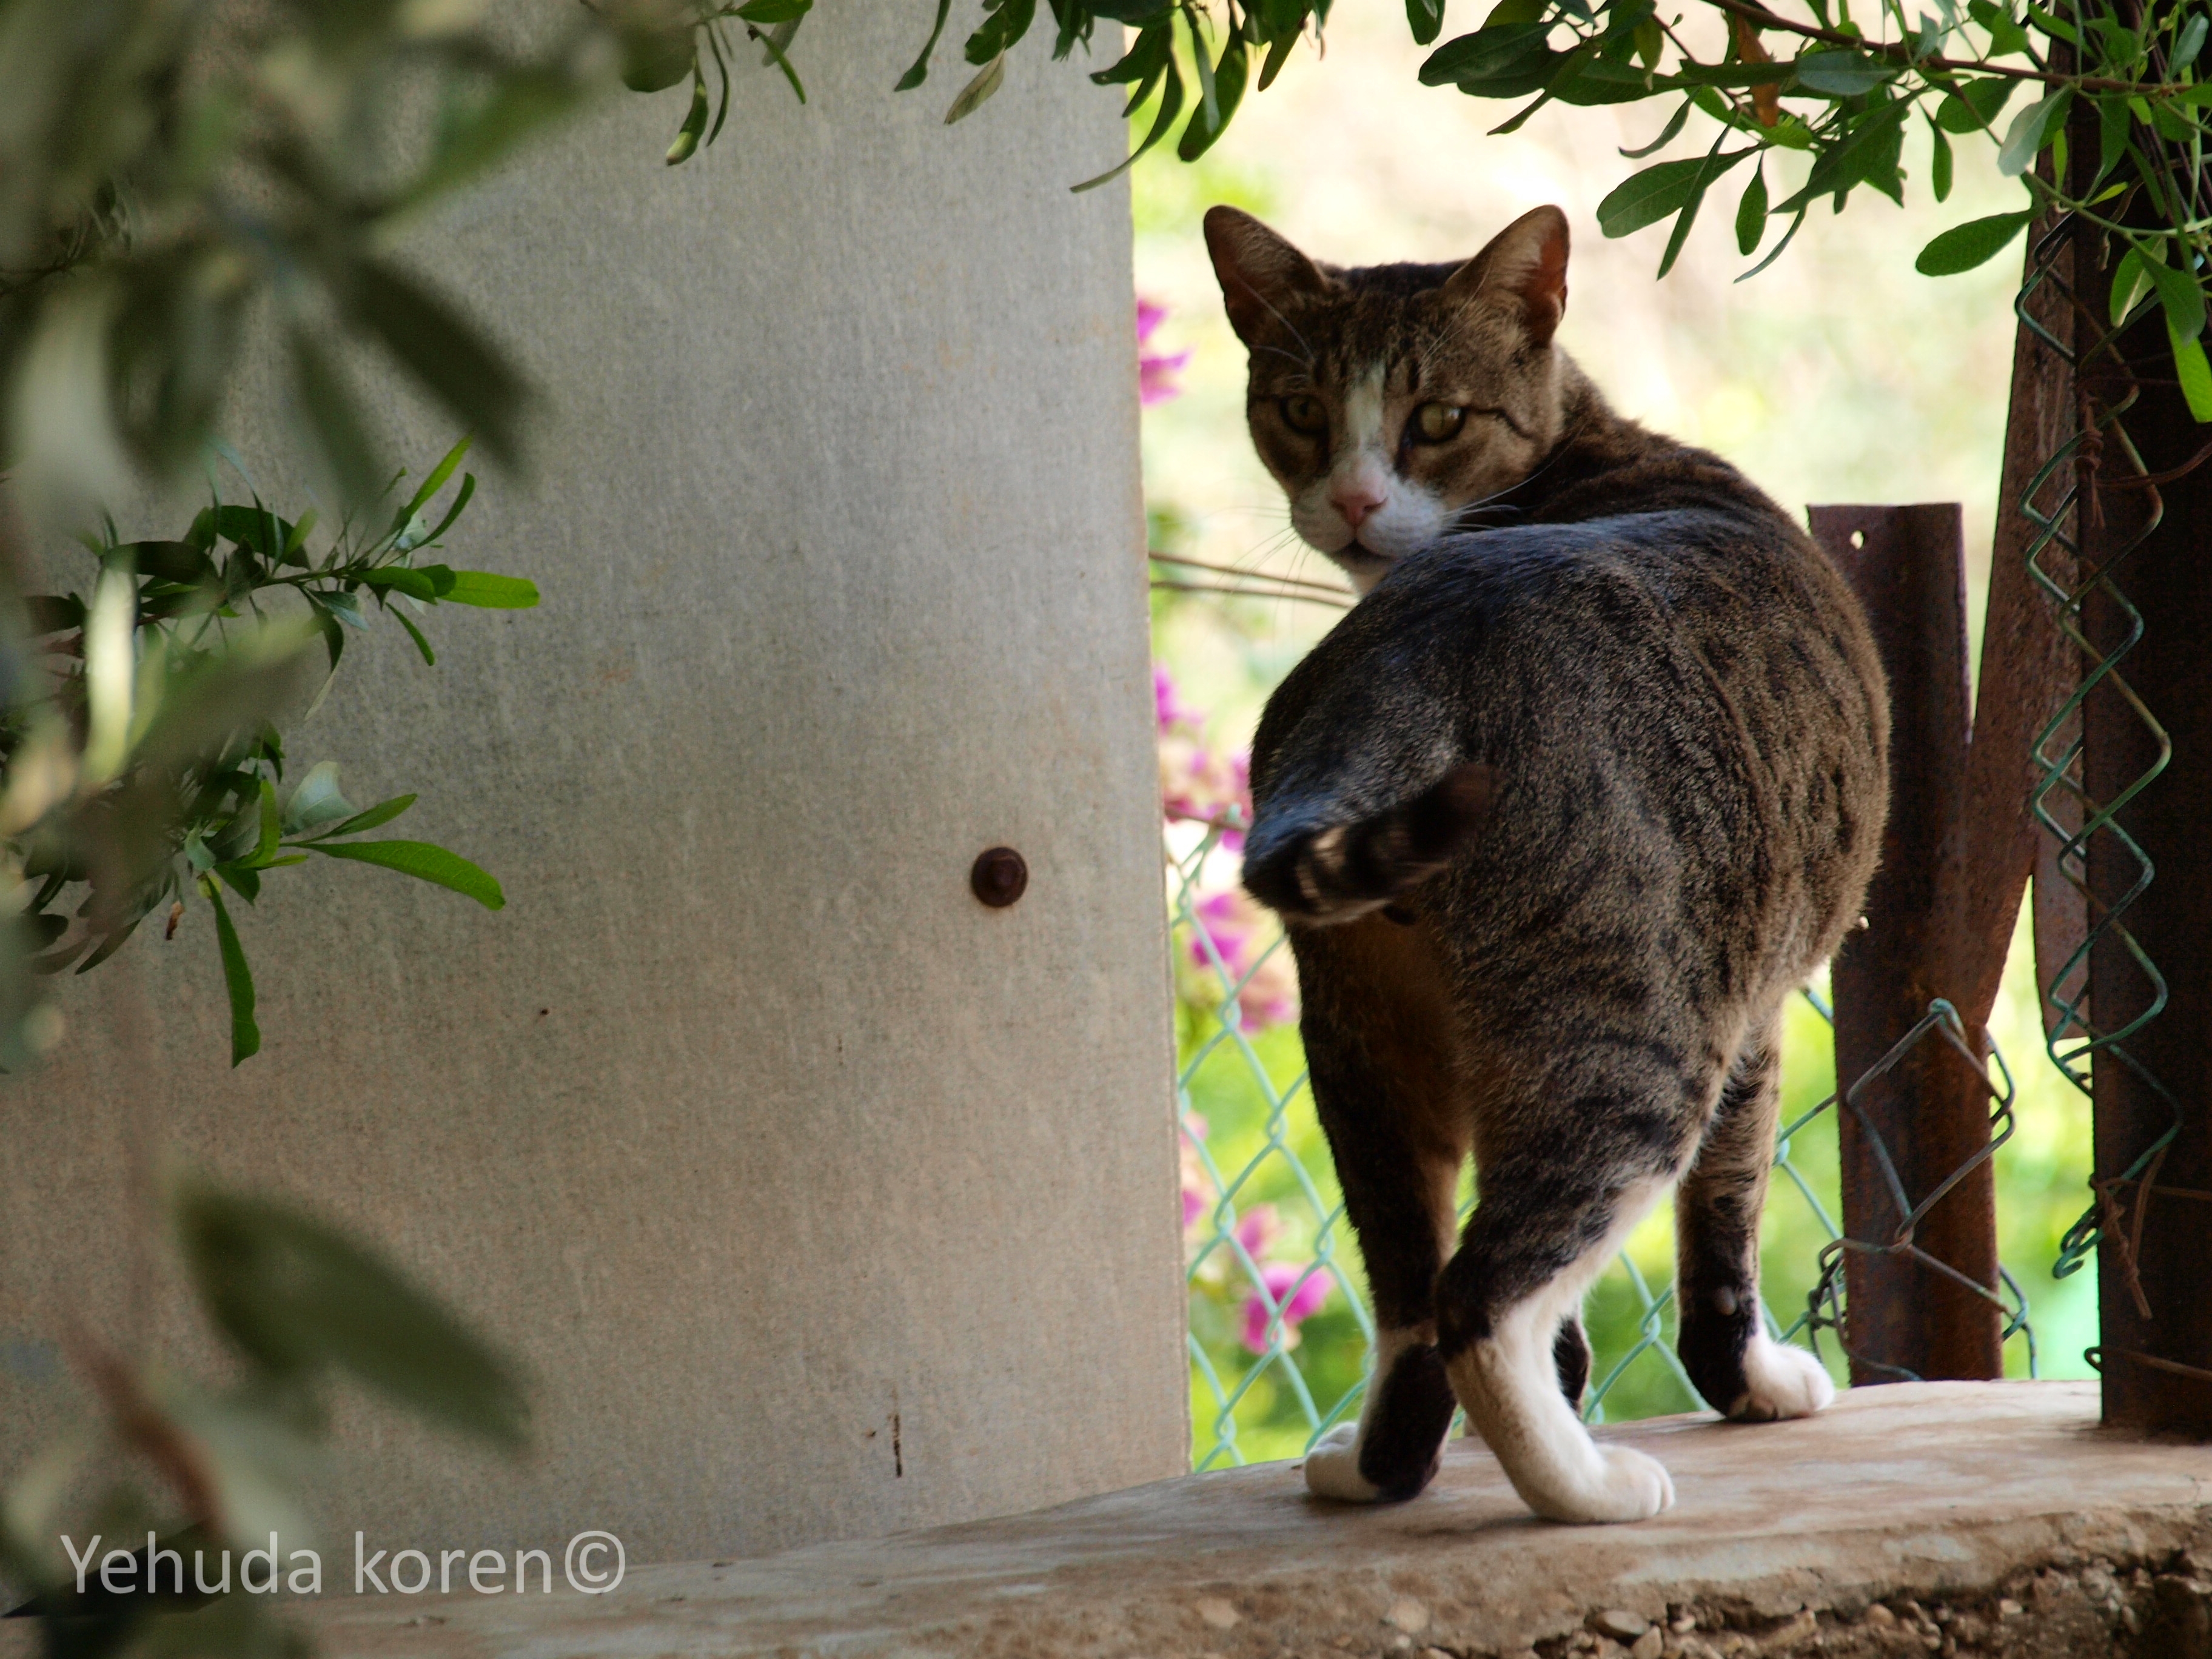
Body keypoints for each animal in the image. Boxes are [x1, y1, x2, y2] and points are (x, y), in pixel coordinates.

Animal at [1203, 201, 1893, 1530]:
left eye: (1436, 418)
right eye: (1303, 409)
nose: (1354, 498)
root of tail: (1407, 654)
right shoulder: (1757, 1014)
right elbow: (1724, 1227)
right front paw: (1758, 1386)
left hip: (1363, 1043)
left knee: (1410, 1296)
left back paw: (1376, 1470)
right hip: (1639, 1036)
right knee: (1482, 1301)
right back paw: (1590, 1489)